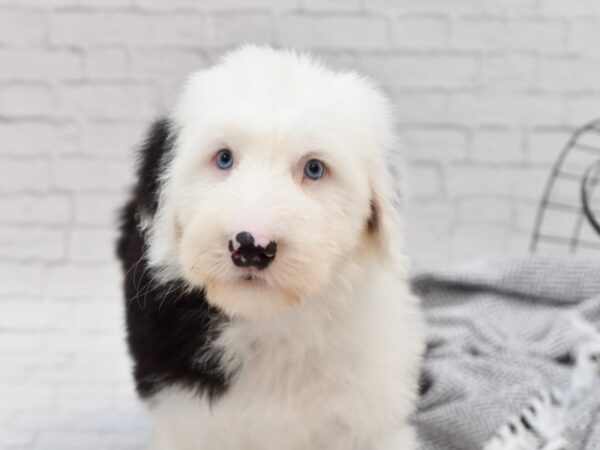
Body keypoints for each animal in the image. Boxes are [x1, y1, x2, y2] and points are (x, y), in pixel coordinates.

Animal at [117, 45, 424, 450]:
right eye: (224, 158)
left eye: (314, 168)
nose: (252, 246)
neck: (272, 324)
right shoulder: (187, 419)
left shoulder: (371, 413)